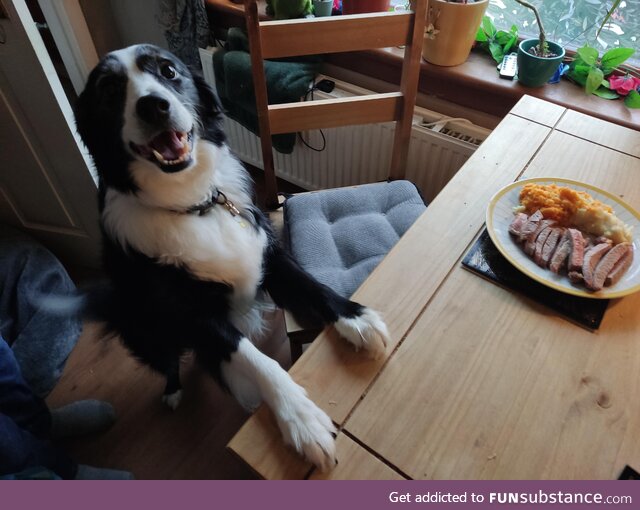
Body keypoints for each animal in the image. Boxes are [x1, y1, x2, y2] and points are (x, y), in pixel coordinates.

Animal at [72, 43, 388, 470]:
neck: (193, 204)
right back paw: (173, 391)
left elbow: (312, 286)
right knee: (168, 360)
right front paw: (301, 418)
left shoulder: (268, 254)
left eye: (168, 71)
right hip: (145, 330)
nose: (154, 106)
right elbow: (254, 358)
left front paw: (356, 318)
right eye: (108, 90)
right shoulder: (193, 312)